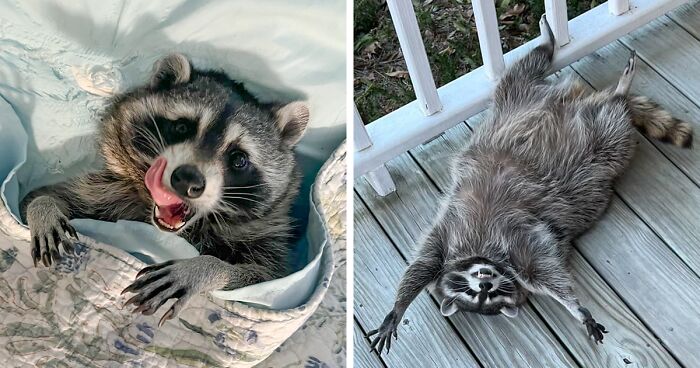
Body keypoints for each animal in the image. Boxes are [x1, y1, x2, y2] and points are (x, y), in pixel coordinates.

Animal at [19, 54, 308, 324]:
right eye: (181, 127)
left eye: (239, 159)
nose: (187, 180)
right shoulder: (109, 190)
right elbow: (36, 199)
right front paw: (43, 208)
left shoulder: (267, 248)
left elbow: (259, 285)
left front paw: (204, 268)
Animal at [370, 15, 692, 354]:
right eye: (476, 295)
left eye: (485, 291)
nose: (485, 281)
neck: (483, 251)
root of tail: (576, 98)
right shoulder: (515, 246)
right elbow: (543, 270)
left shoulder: (460, 234)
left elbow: (423, 265)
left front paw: (397, 307)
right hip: (597, 142)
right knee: (600, 118)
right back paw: (613, 93)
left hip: (514, 99)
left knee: (523, 70)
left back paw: (576, 62)